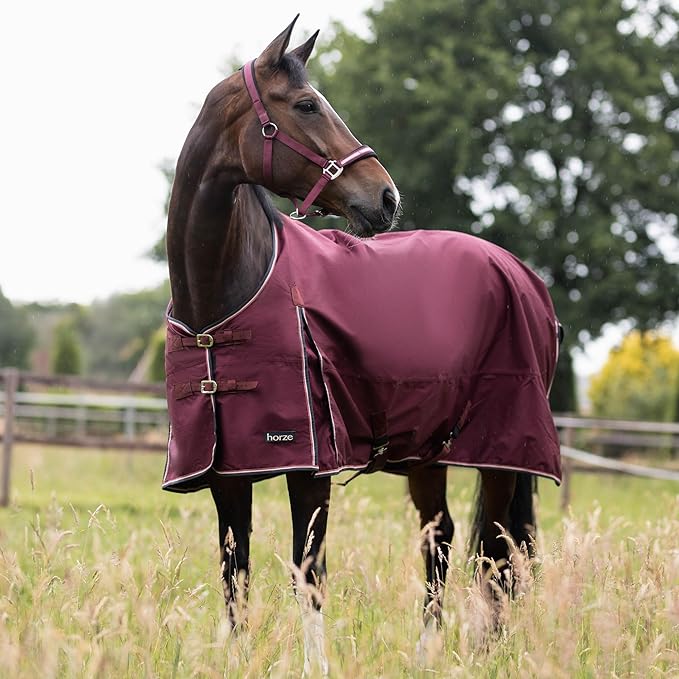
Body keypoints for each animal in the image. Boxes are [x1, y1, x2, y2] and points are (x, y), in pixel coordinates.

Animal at [163, 16, 561, 674]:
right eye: (304, 104)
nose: (386, 198)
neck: (221, 306)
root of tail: (524, 276)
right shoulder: (227, 470)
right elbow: (234, 573)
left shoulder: (310, 466)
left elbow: (308, 574)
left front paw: (314, 666)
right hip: (429, 452)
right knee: (442, 540)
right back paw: (427, 654)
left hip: (500, 451)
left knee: (497, 551)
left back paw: (486, 653)